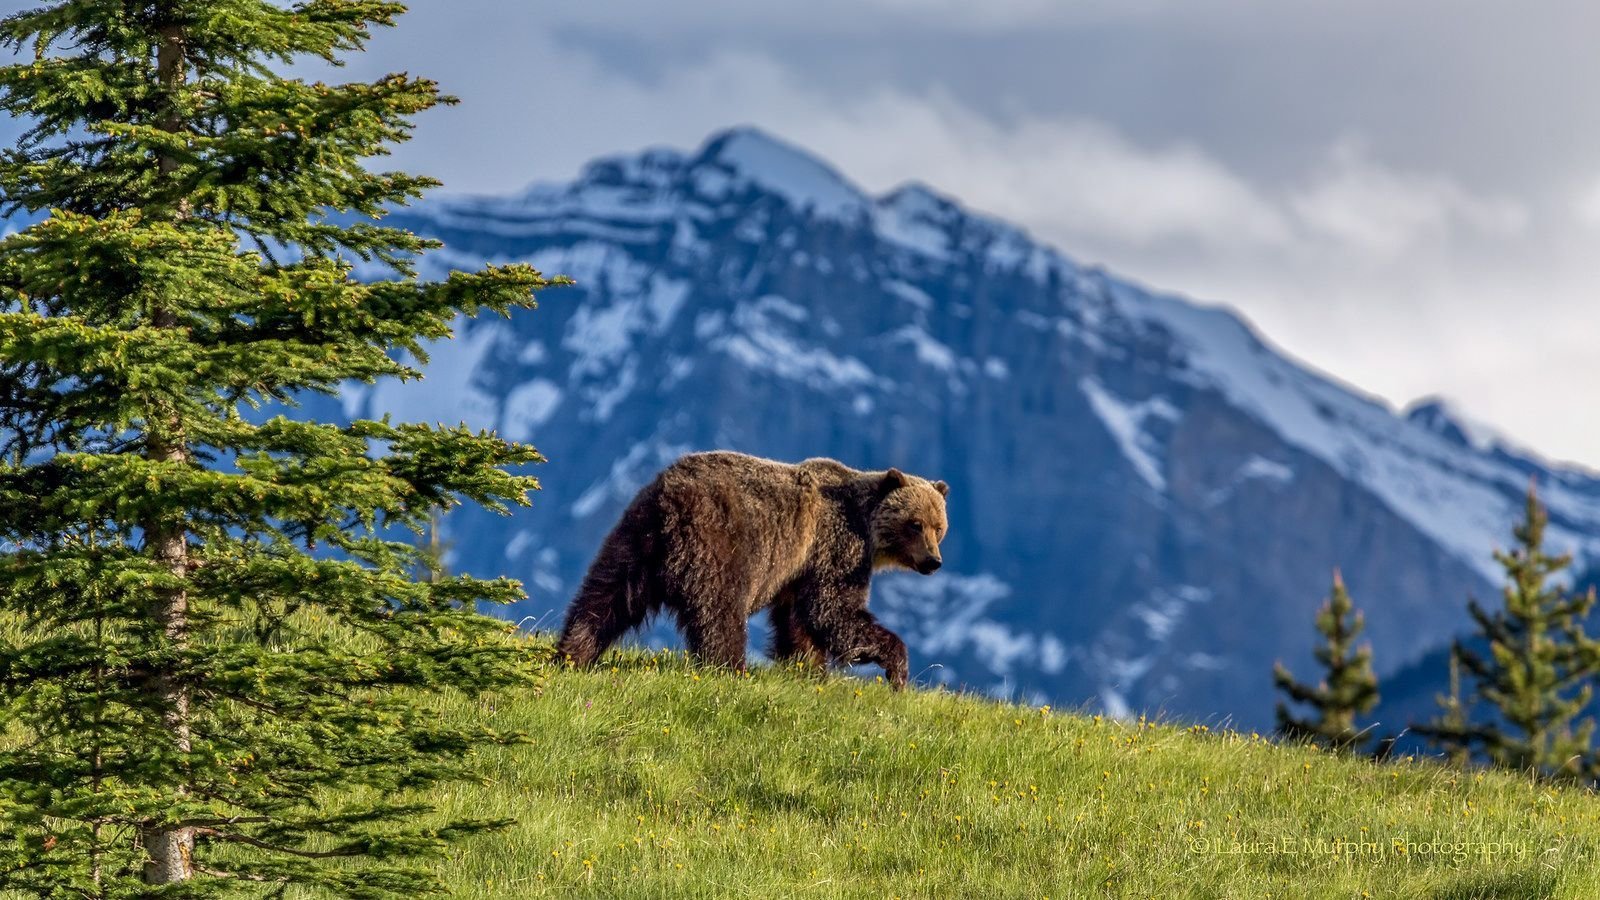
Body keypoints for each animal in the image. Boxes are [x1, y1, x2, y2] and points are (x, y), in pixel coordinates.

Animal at [553, 448, 947, 685]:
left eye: (939, 526)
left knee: (606, 596)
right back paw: (731, 669)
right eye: (915, 524)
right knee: (720, 612)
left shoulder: (798, 569)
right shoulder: (836, 544)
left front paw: (807, 669)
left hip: (636, 539)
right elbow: (832, 609)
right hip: (721, 542)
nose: (933, 561)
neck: (867, 526)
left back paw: (573, 653)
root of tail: (671, 500)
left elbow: (797, 622)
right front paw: (897, 666)